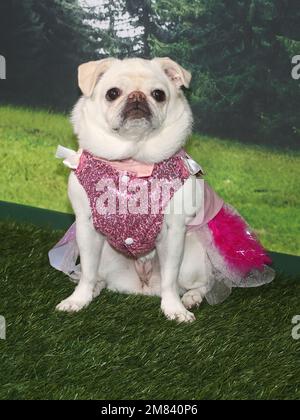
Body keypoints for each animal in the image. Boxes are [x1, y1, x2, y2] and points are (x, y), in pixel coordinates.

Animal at [55, 56, 274, 322]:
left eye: (158, 94)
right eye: (112, 93)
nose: (137, 97)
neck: (133, 159)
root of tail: (144, 285)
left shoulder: (173, 233)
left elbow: (170, 279)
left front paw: (174, 309)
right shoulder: (87, 227)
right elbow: (86, 271)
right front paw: (78, 299)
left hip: (192, 259)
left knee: (206, 283)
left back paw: (191, 298)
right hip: (106, 255)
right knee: (98, 275)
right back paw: (96, 287)